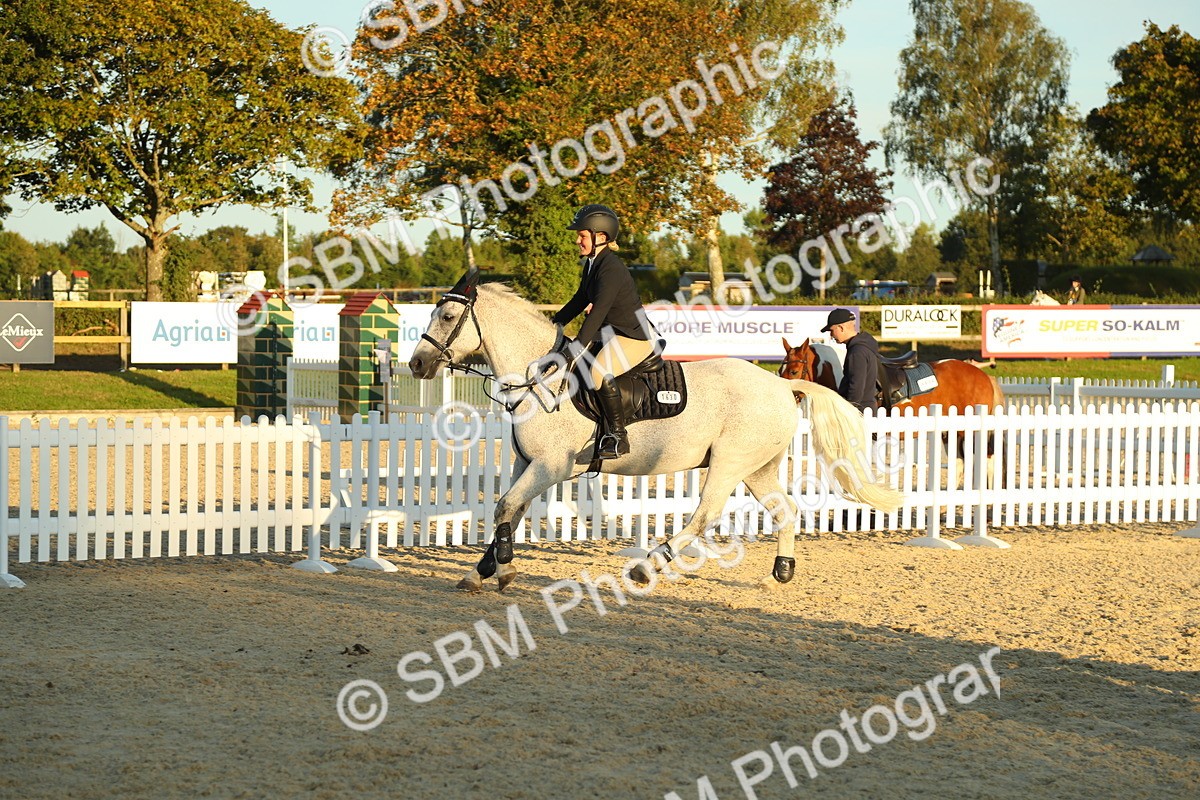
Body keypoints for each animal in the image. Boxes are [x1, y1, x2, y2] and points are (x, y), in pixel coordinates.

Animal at [407, 270, 904, 592]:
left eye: (448, 318)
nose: (416, 363)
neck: (540, 377)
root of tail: (783, 384)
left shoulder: (550, 467)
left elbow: (506, 508)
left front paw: (505, 571)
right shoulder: (526, 464)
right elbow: (507, 513)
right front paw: (480, 571)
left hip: (729, 463)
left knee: (705, 514)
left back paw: (648, 567)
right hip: (758, 466)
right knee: (785, 510)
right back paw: (779, 572)